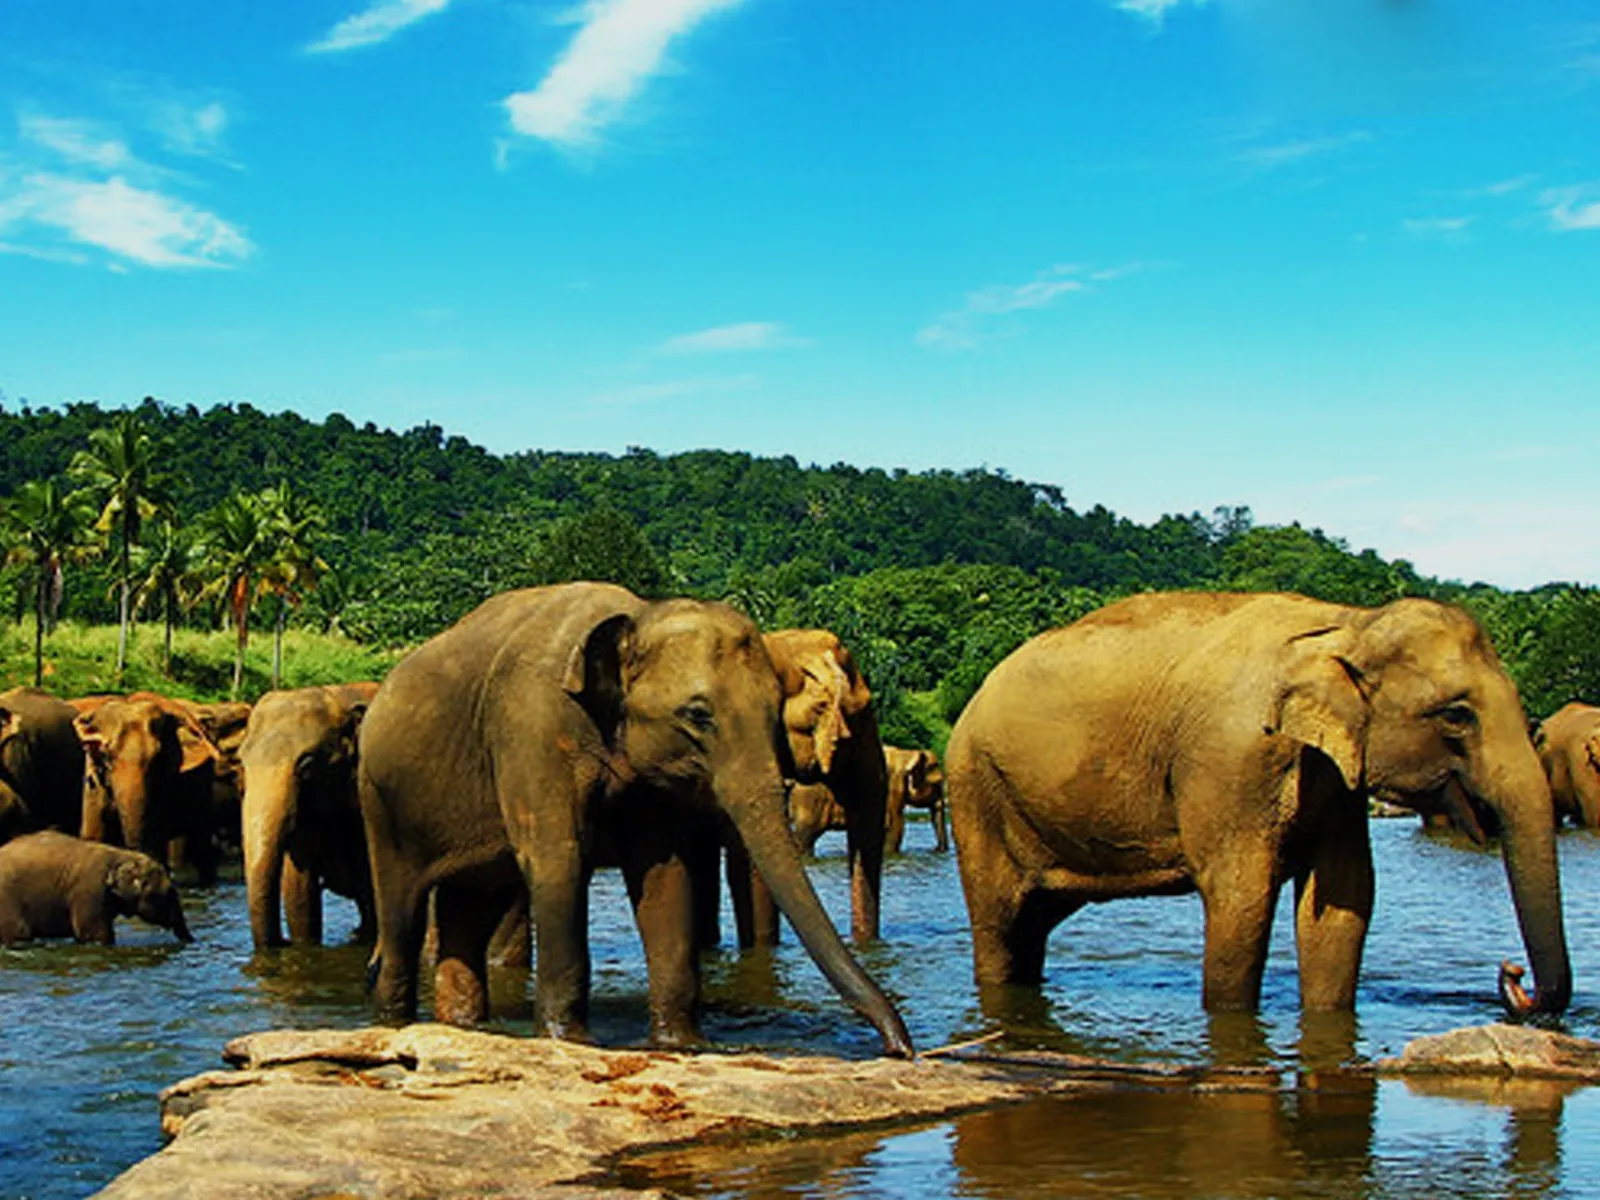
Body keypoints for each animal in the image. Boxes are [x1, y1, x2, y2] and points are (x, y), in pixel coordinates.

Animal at [0, 829, 193, 945]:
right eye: (169, 893)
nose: (190, 941)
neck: (122, 854)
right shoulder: (90, 890)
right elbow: (94, 934)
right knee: (19, 934)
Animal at [947, 592, 1572, 1017]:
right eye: (1457, 716)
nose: (1510, 973)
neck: (1347, 624)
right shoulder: (1231, 757)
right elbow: (1240, 894)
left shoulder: (1334, 777)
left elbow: (1342, 898)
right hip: (975, 788)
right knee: (1000, 923)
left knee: (1032, 925)